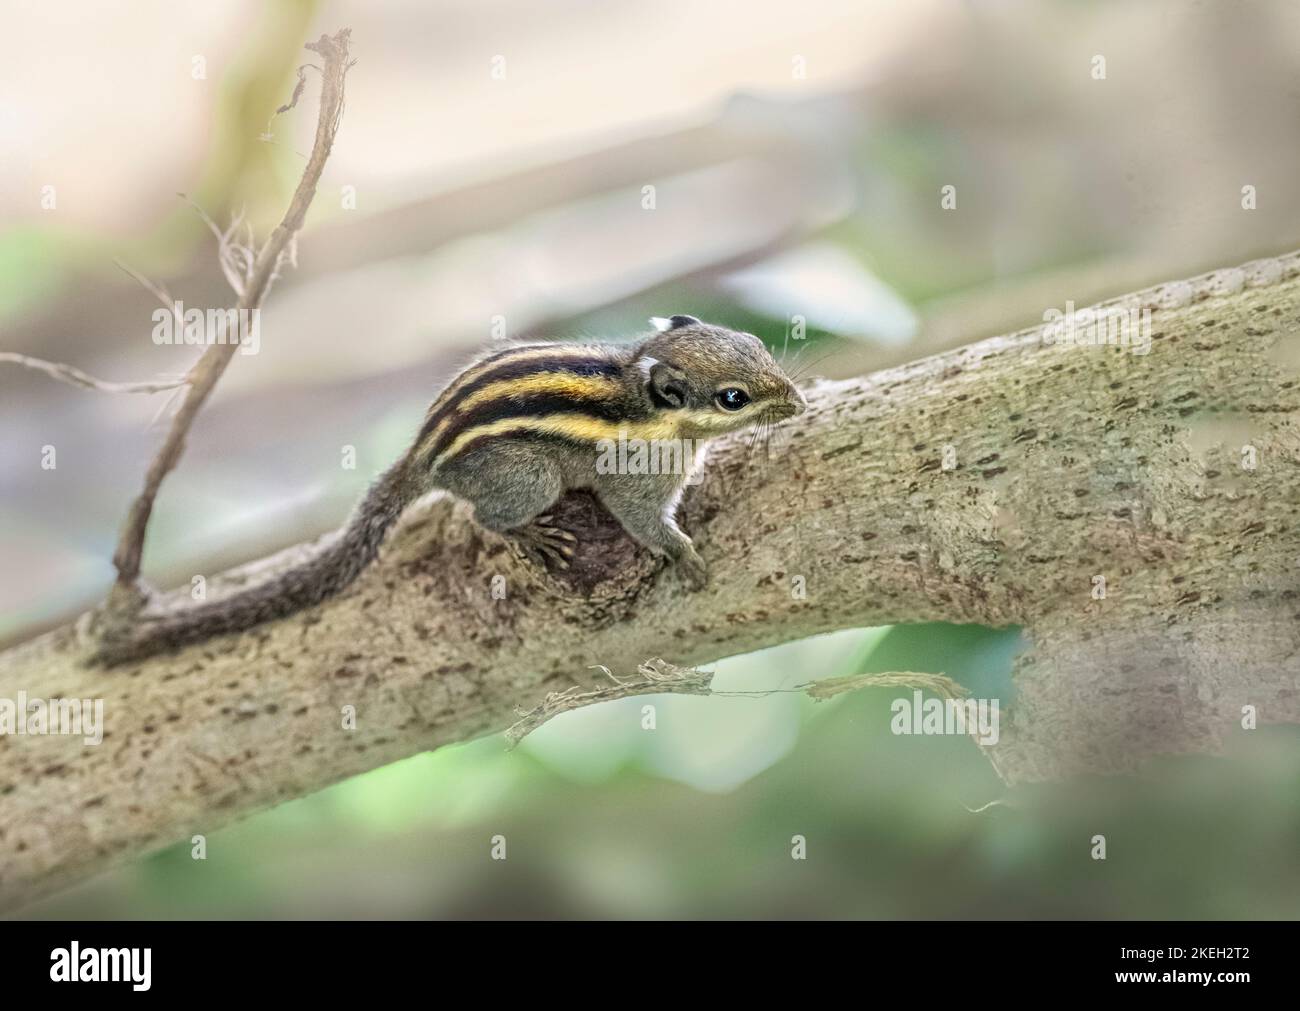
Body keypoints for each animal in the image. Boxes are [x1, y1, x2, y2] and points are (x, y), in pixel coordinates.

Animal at [92, 315, 807, 664]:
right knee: (488, 516)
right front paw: (685, 556)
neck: (644, 405)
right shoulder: (632, 479)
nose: (796, 401)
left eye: (756, 343)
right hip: (528, 478)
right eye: (734, 397)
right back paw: (531, 533)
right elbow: (642, 521)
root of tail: (424, 454)